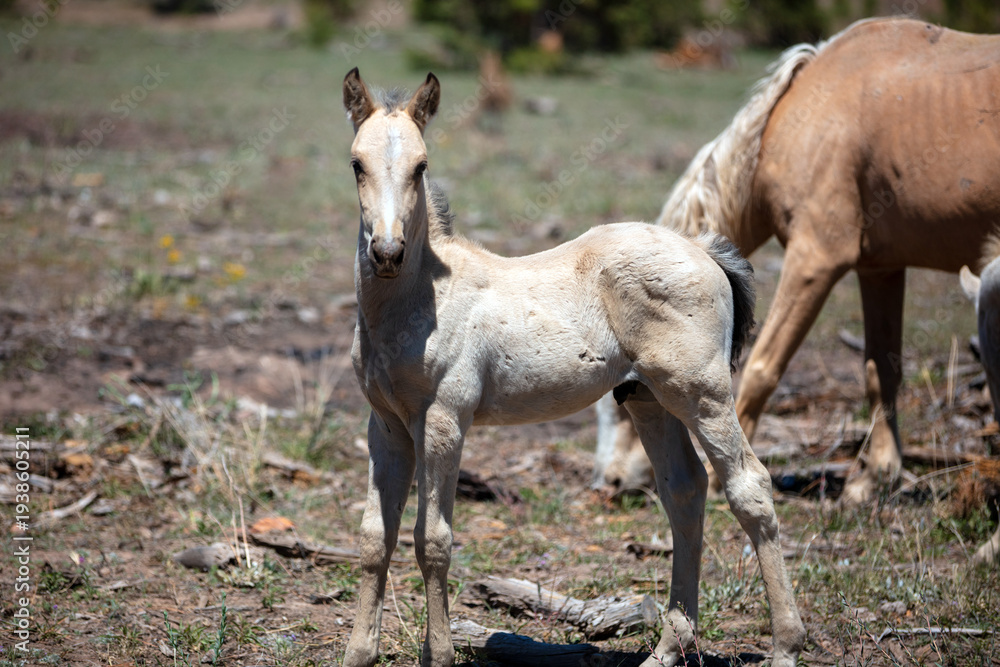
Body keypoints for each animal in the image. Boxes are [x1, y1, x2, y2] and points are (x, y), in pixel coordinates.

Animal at [340, 68, 805, 667]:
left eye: (421, 165)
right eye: (357, 163)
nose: (387, 252)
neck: (417, 301)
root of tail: (704, 249)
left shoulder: (444, 419)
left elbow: (433, 541)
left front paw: (439, 655)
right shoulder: (387, 425)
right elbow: (375, 536)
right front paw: (358, 653)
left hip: (703, 393)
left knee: (749, 487)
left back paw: (786, 644)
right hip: (648, 398)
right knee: (684, 491)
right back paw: (667, 649)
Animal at [595, 17, 1000, 503]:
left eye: (629, 391)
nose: (609, 483)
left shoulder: (816, 258)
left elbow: (762, 368)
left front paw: (721, 476)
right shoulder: (879, 268)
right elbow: (881, 368)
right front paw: (873, 479)